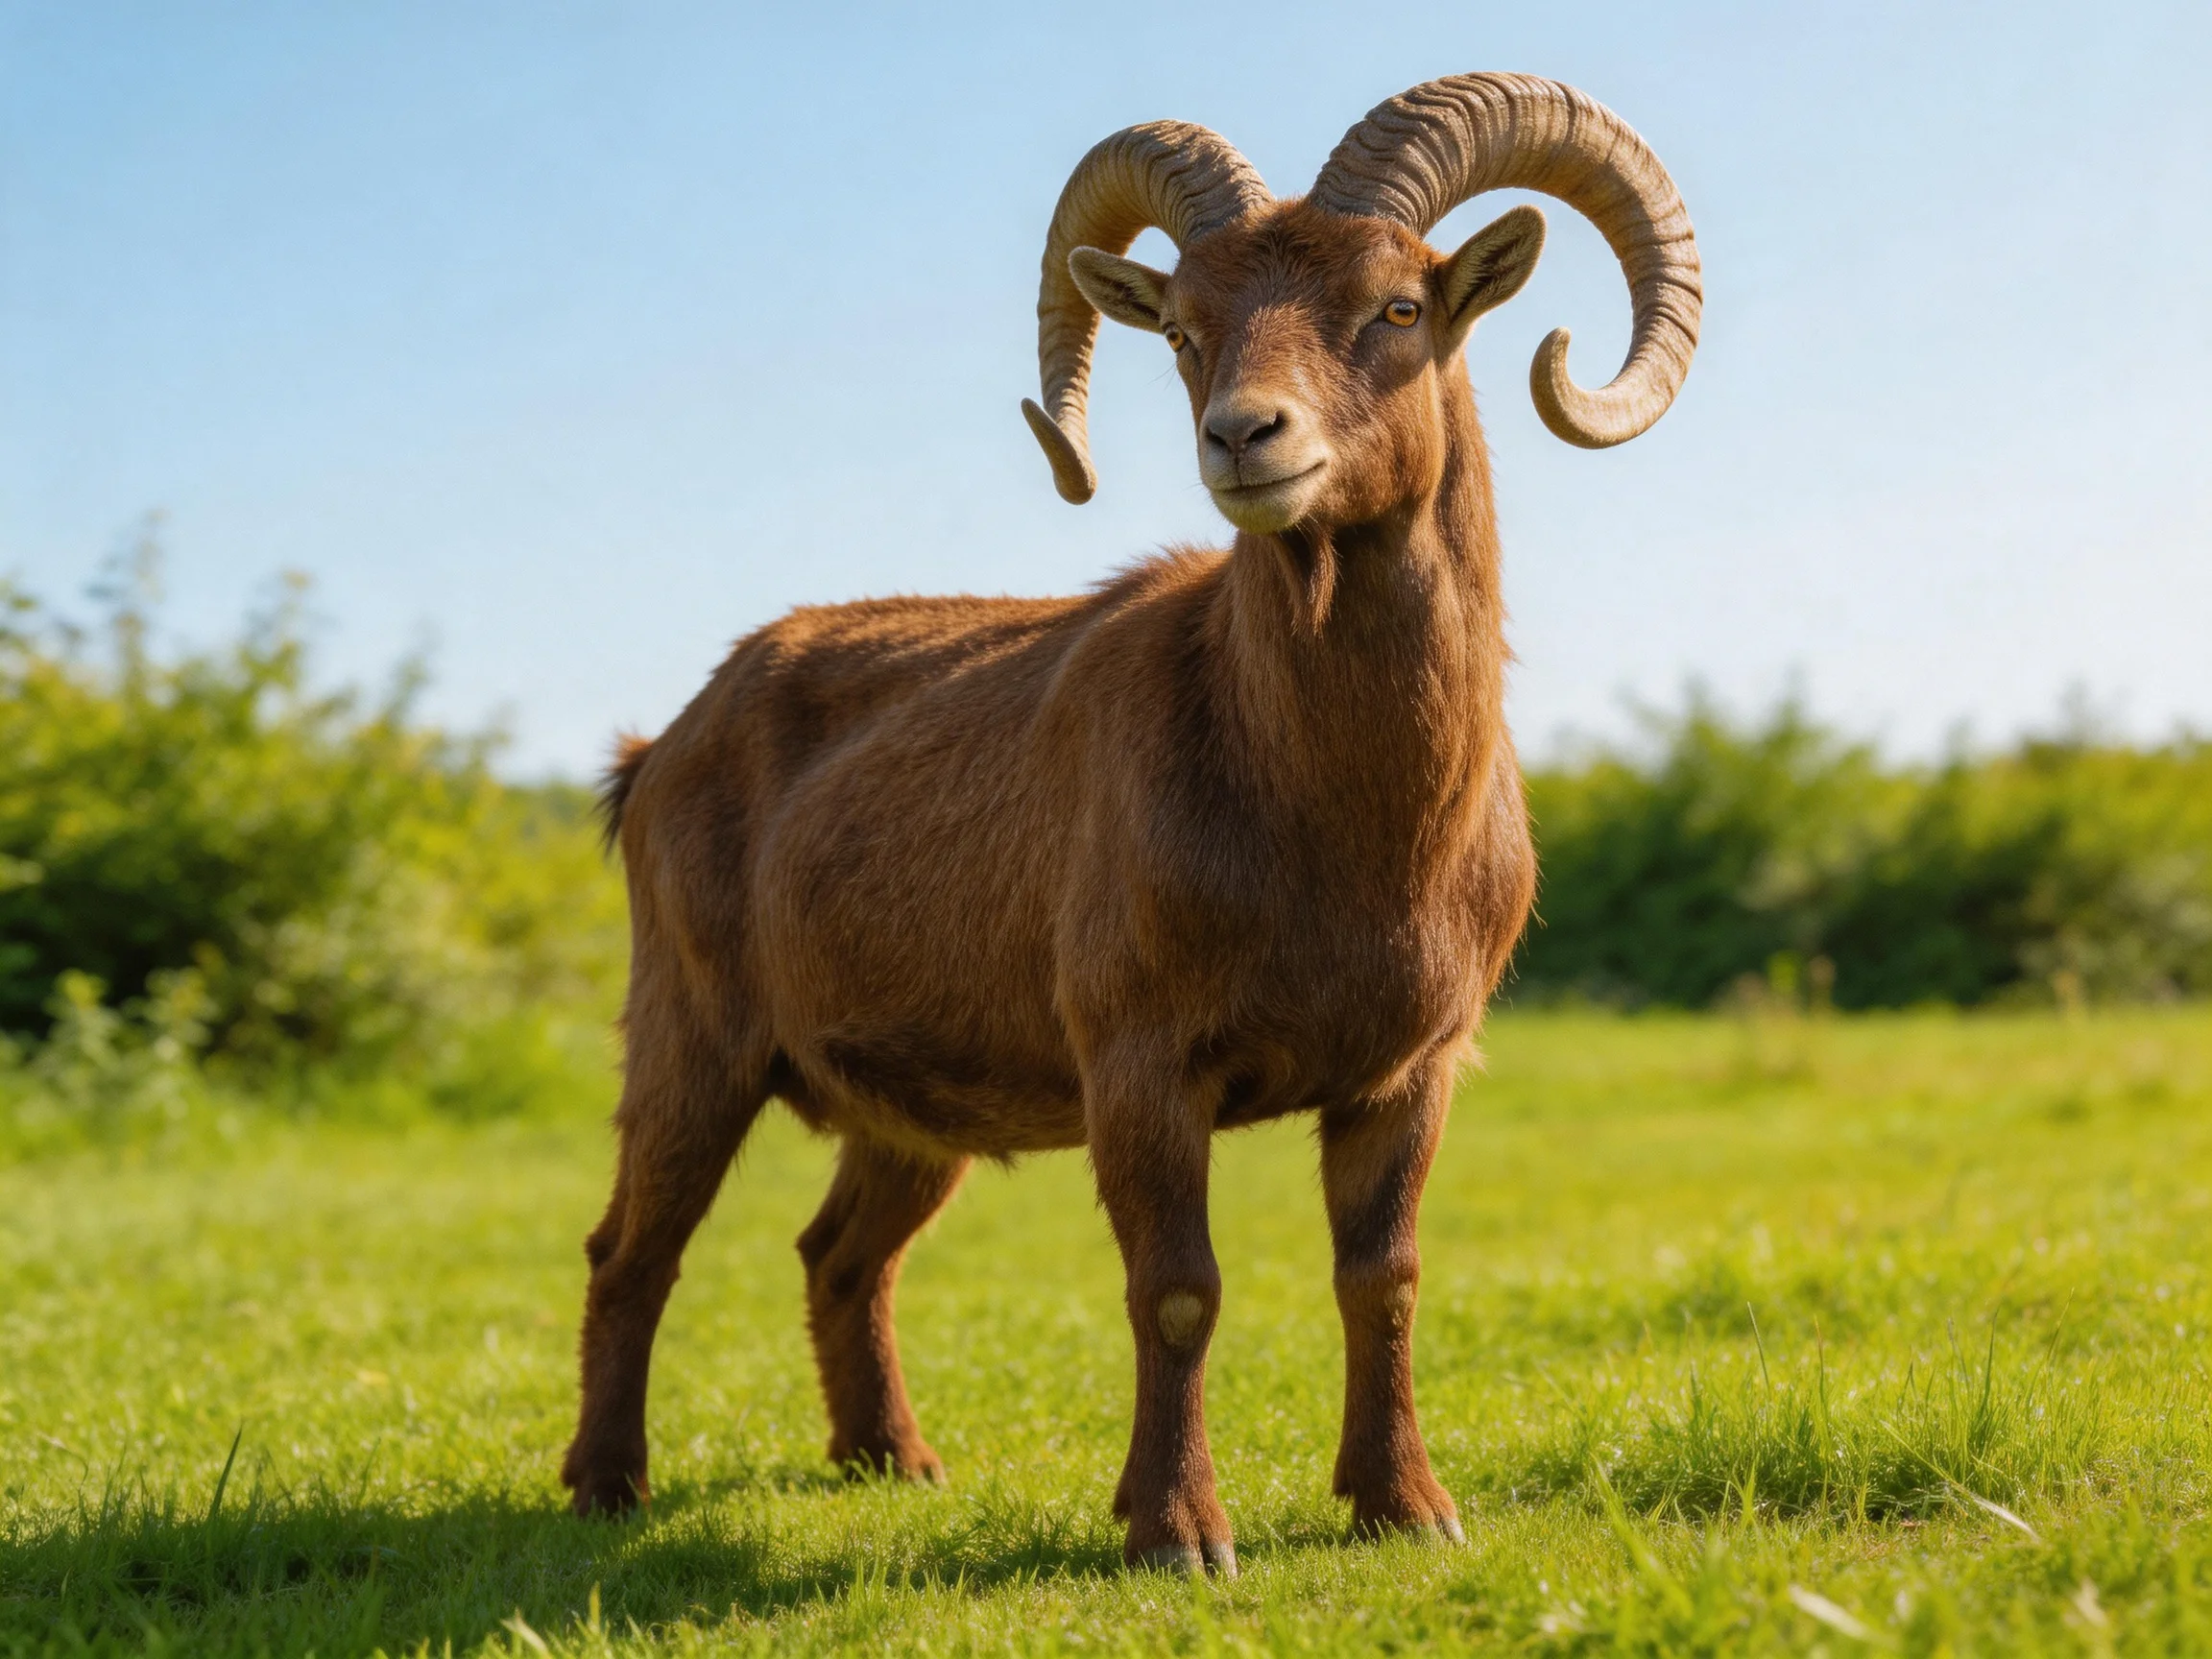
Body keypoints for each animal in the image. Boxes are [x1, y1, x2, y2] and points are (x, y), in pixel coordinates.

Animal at [561, 73, 1701, 1574]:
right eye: (1186, 331)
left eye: (1399, 306)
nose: (1247, 439)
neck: (1345, 831)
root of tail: (657, 754)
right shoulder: (1142, 1067)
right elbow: (1178, 1289)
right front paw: (1177, 1531)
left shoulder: (1408, 1073)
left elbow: (1382, 1279)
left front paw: (1406, 1507)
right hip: (692, 1042)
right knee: (634, 1249)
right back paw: (605, 1484)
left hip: (908, 1118)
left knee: (841, 1252)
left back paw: (892, 1459)